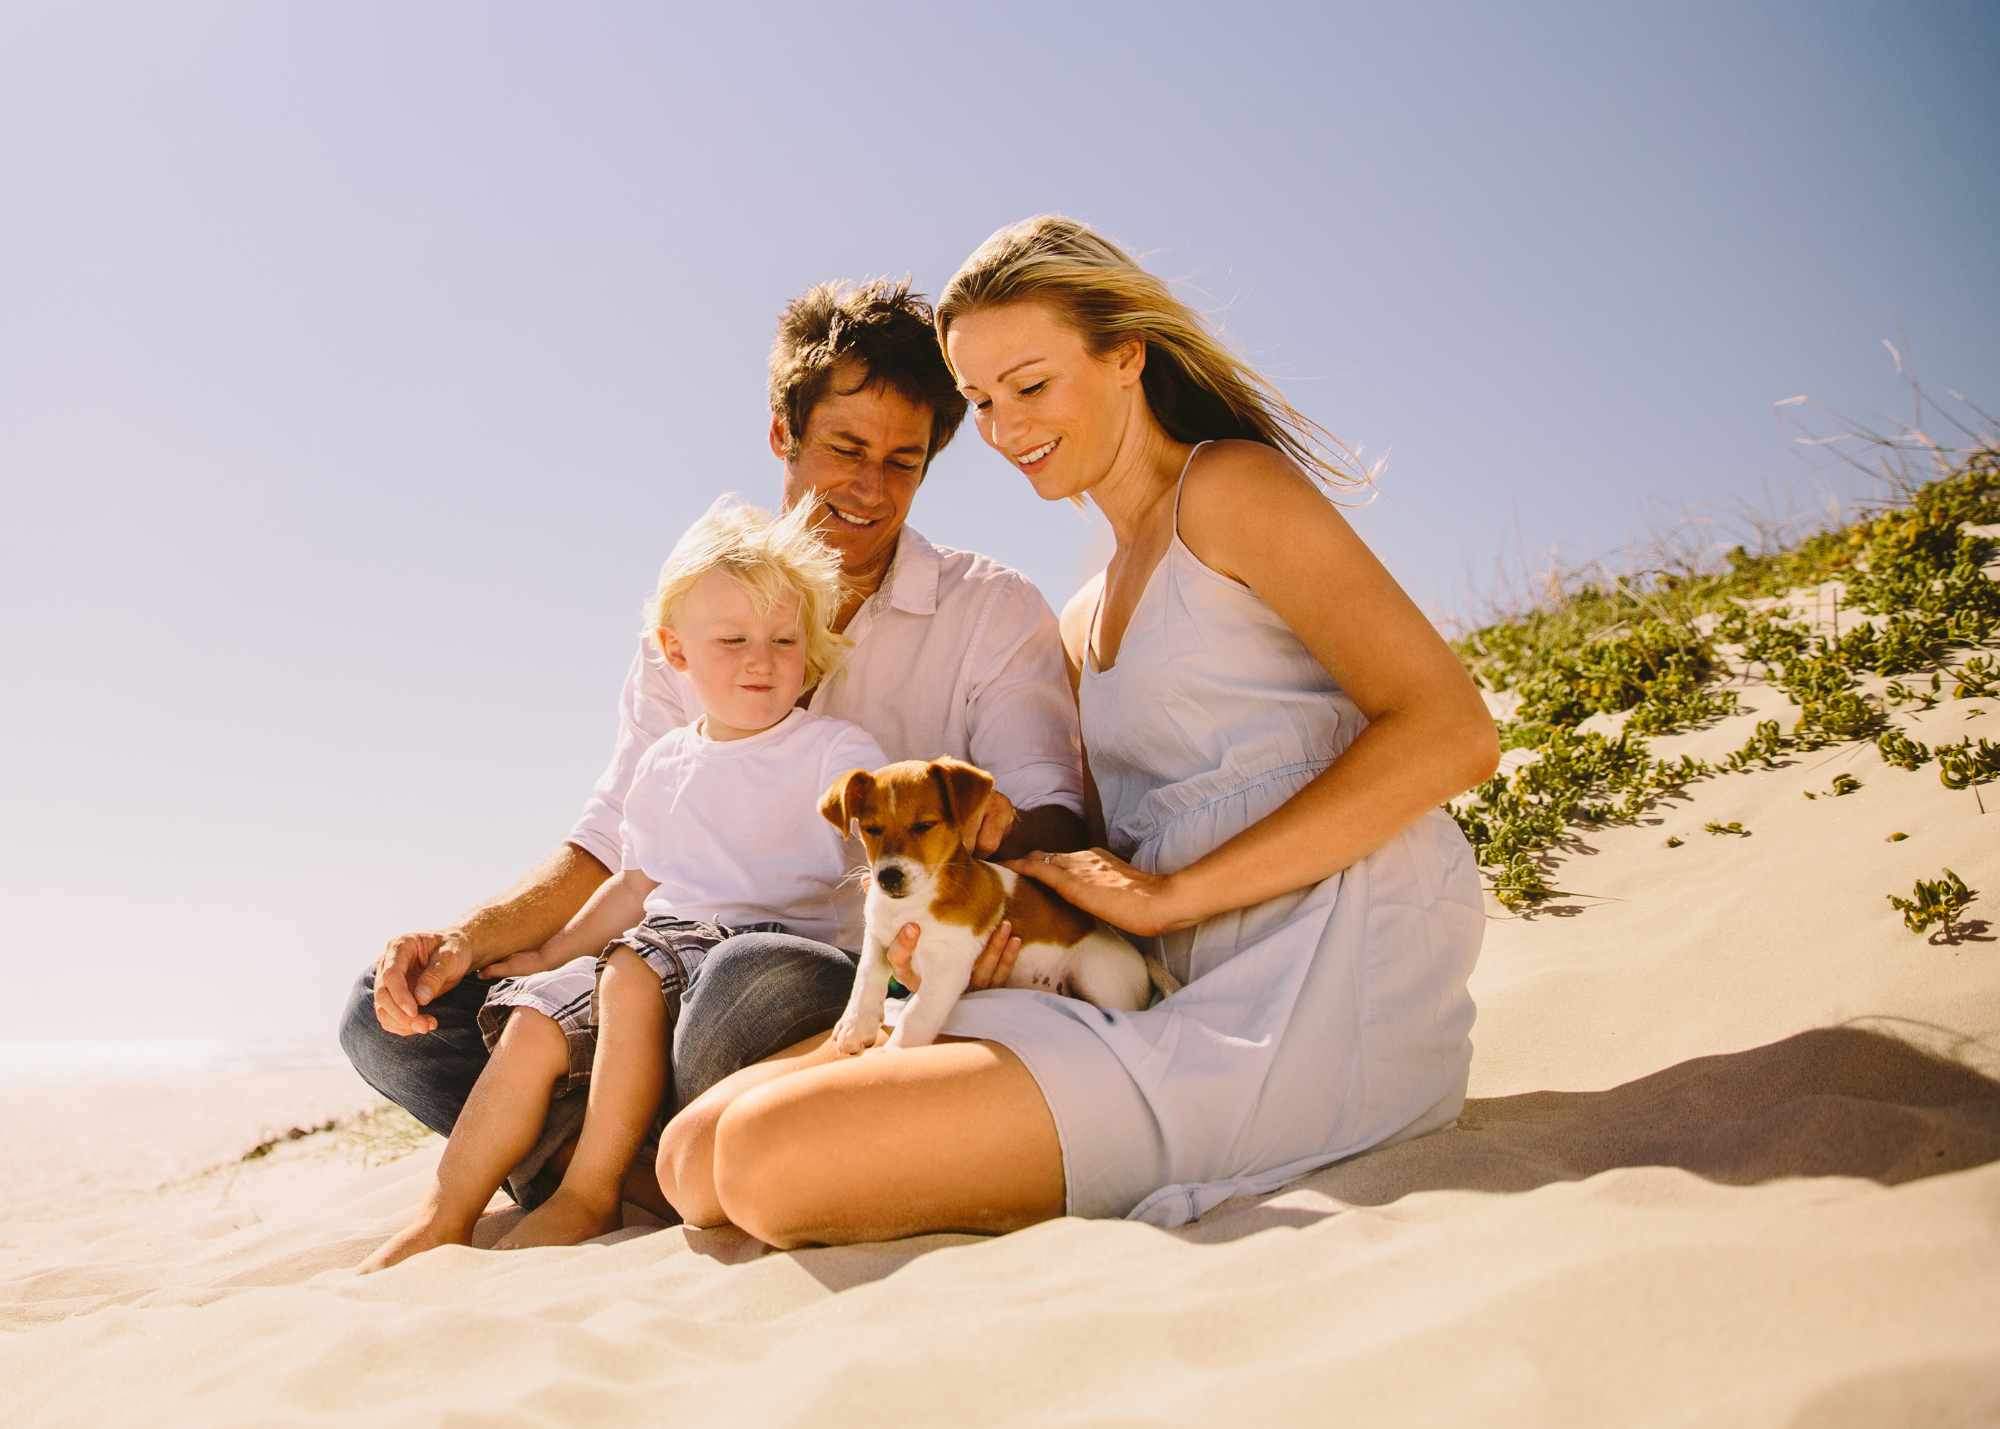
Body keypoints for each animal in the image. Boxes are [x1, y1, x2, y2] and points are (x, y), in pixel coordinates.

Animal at [820, 756, 1176, 1048]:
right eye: (871, 829)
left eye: (923, 826)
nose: (888, 877)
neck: (915, 905)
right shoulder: (878, 938)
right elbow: (865, 979)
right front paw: (855, 1026)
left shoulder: (946, 971)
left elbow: (916, 1018)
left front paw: (895, 1055)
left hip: (1097, 976)